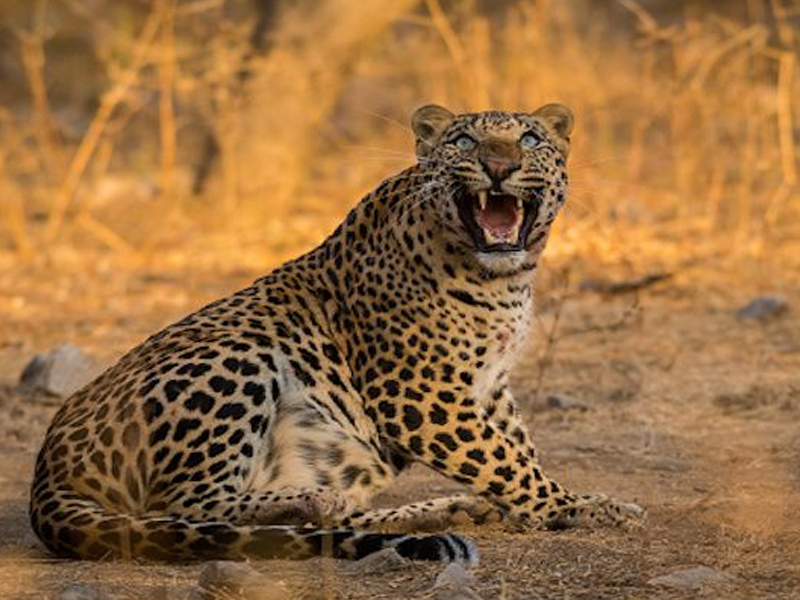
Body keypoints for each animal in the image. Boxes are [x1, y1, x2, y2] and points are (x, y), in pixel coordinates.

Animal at [29, 103, 644, 565]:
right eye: (466, 141)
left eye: (531, 138)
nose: (498, 163)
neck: (502, 280)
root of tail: (45, 472)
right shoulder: (418, 392)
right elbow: (504, 460)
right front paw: (581, 507)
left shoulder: (489, 386)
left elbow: (516, 448)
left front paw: (546, 503)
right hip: (238, 354)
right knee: (181, 505)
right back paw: (308, 502)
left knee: (329, 510)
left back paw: (432, 509)